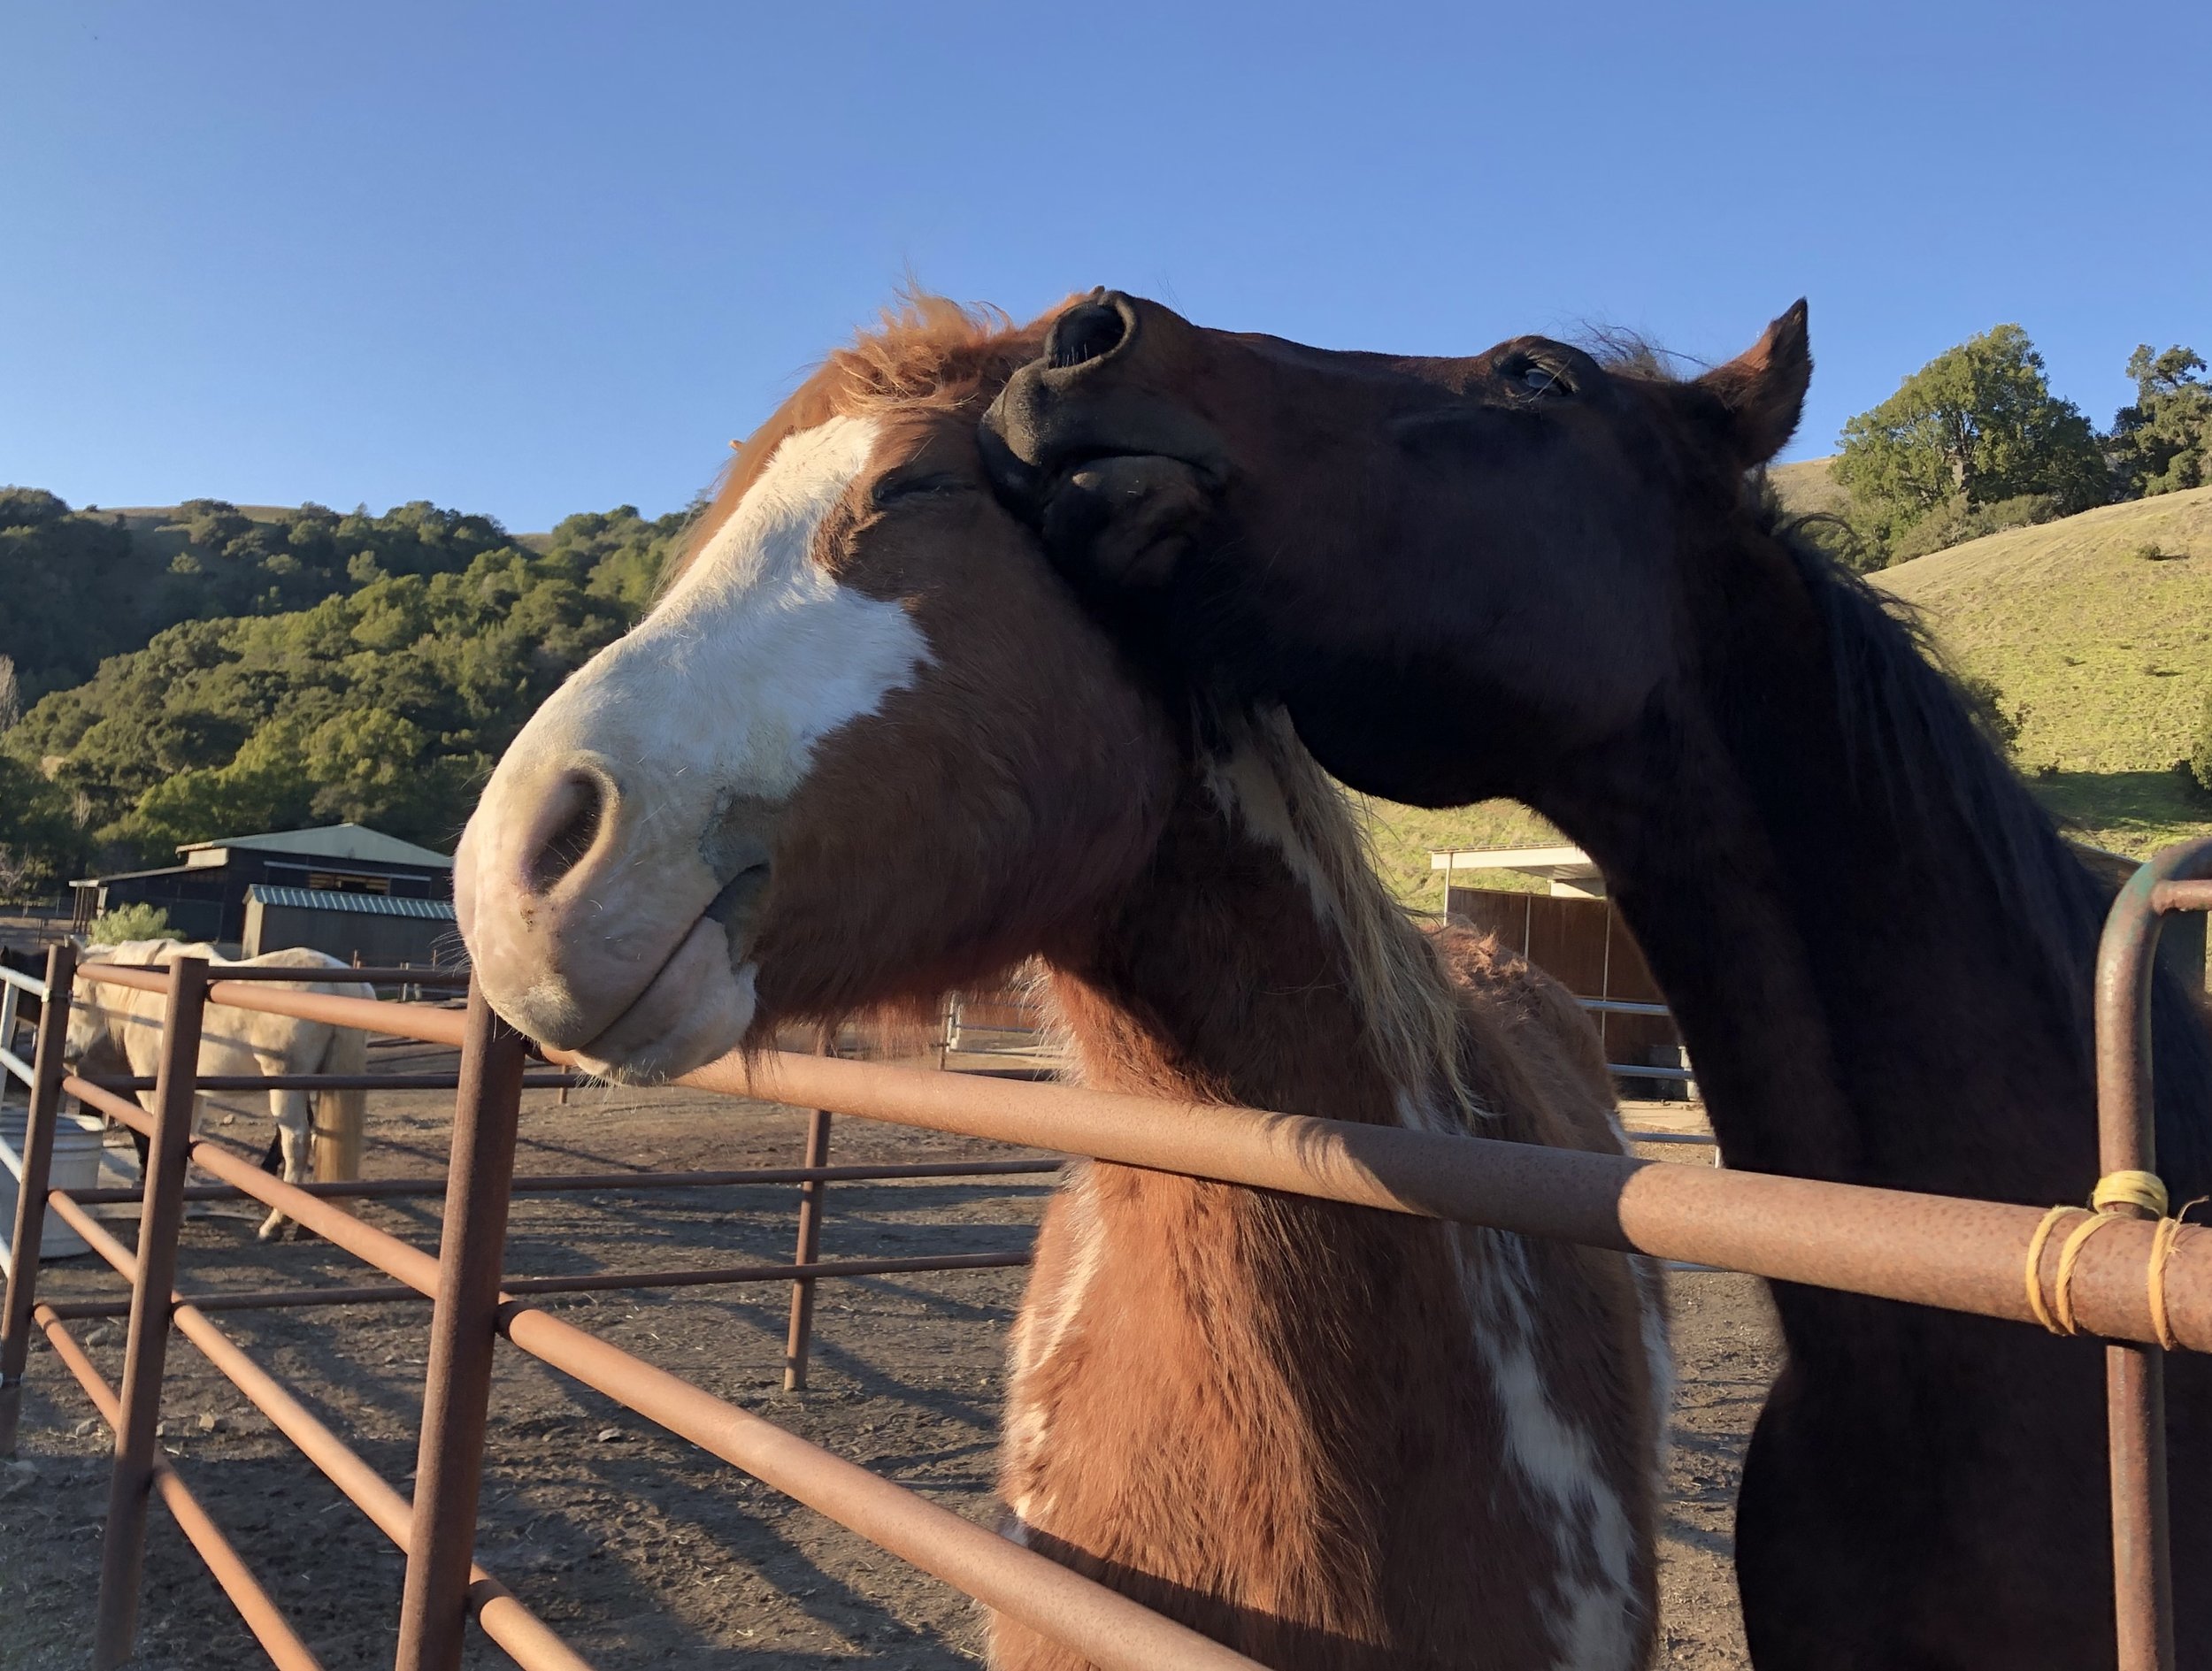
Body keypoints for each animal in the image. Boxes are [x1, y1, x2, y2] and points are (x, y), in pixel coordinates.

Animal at [68, 940, 373, 1241]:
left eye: (76, 995)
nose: (70, 1053)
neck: (150, 992)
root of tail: (341, 984)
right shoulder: (195, 1095)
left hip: (285, 1087)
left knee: (296, 1142)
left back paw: (274, 1225)